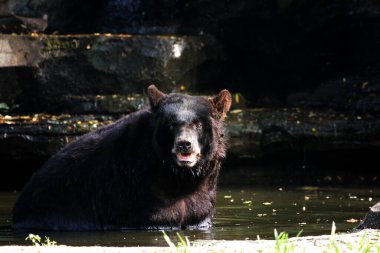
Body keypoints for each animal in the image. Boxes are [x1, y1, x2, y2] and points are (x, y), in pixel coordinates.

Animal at [12, 85, 232, 231]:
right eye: (171, 123)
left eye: (198, 123)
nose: (184, 144)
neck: (176, 176)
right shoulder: (133, 189)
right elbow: (154, 218)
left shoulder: (201, 196)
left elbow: (198, 214)